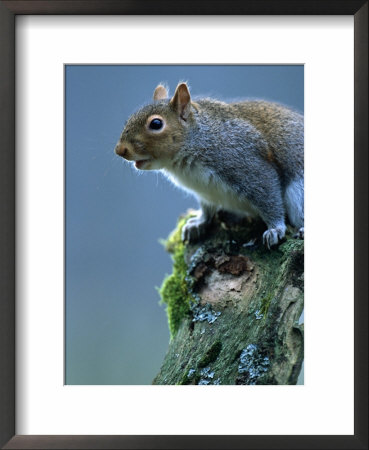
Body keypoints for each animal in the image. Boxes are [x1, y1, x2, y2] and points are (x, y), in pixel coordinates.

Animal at [115, 82, 302, 248]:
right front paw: (198, 223)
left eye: (156, 124)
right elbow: (206, 210)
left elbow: (268, 196)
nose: (120, 150)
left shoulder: (246, 163)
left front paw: (275, 228)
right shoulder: (206, 193)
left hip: (298, 193)